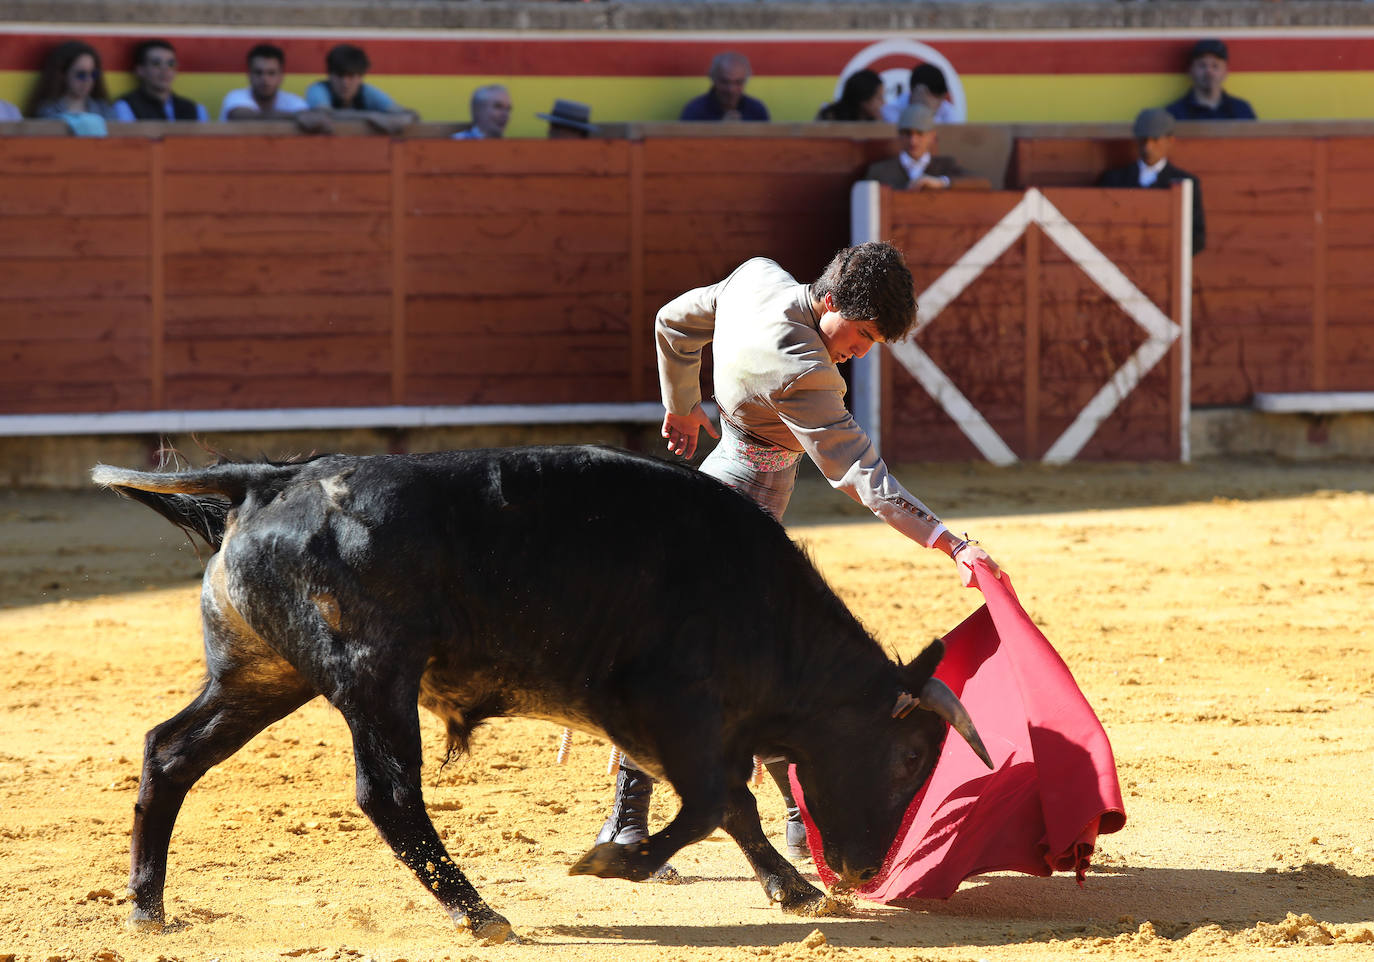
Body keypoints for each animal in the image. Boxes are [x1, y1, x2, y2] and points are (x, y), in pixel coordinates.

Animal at [94, 448, 989, 945]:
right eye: (909, 756)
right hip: (372, 677)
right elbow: (715, 801)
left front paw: (791, 887)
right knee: (388, 794)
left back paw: (146, 908)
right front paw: (612, 862)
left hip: (259, 675)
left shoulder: (671, 727)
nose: (862, 869)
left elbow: (732, 806)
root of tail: (267, 480)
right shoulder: (674, 709)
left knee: (169, 753)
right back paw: (475, 911)